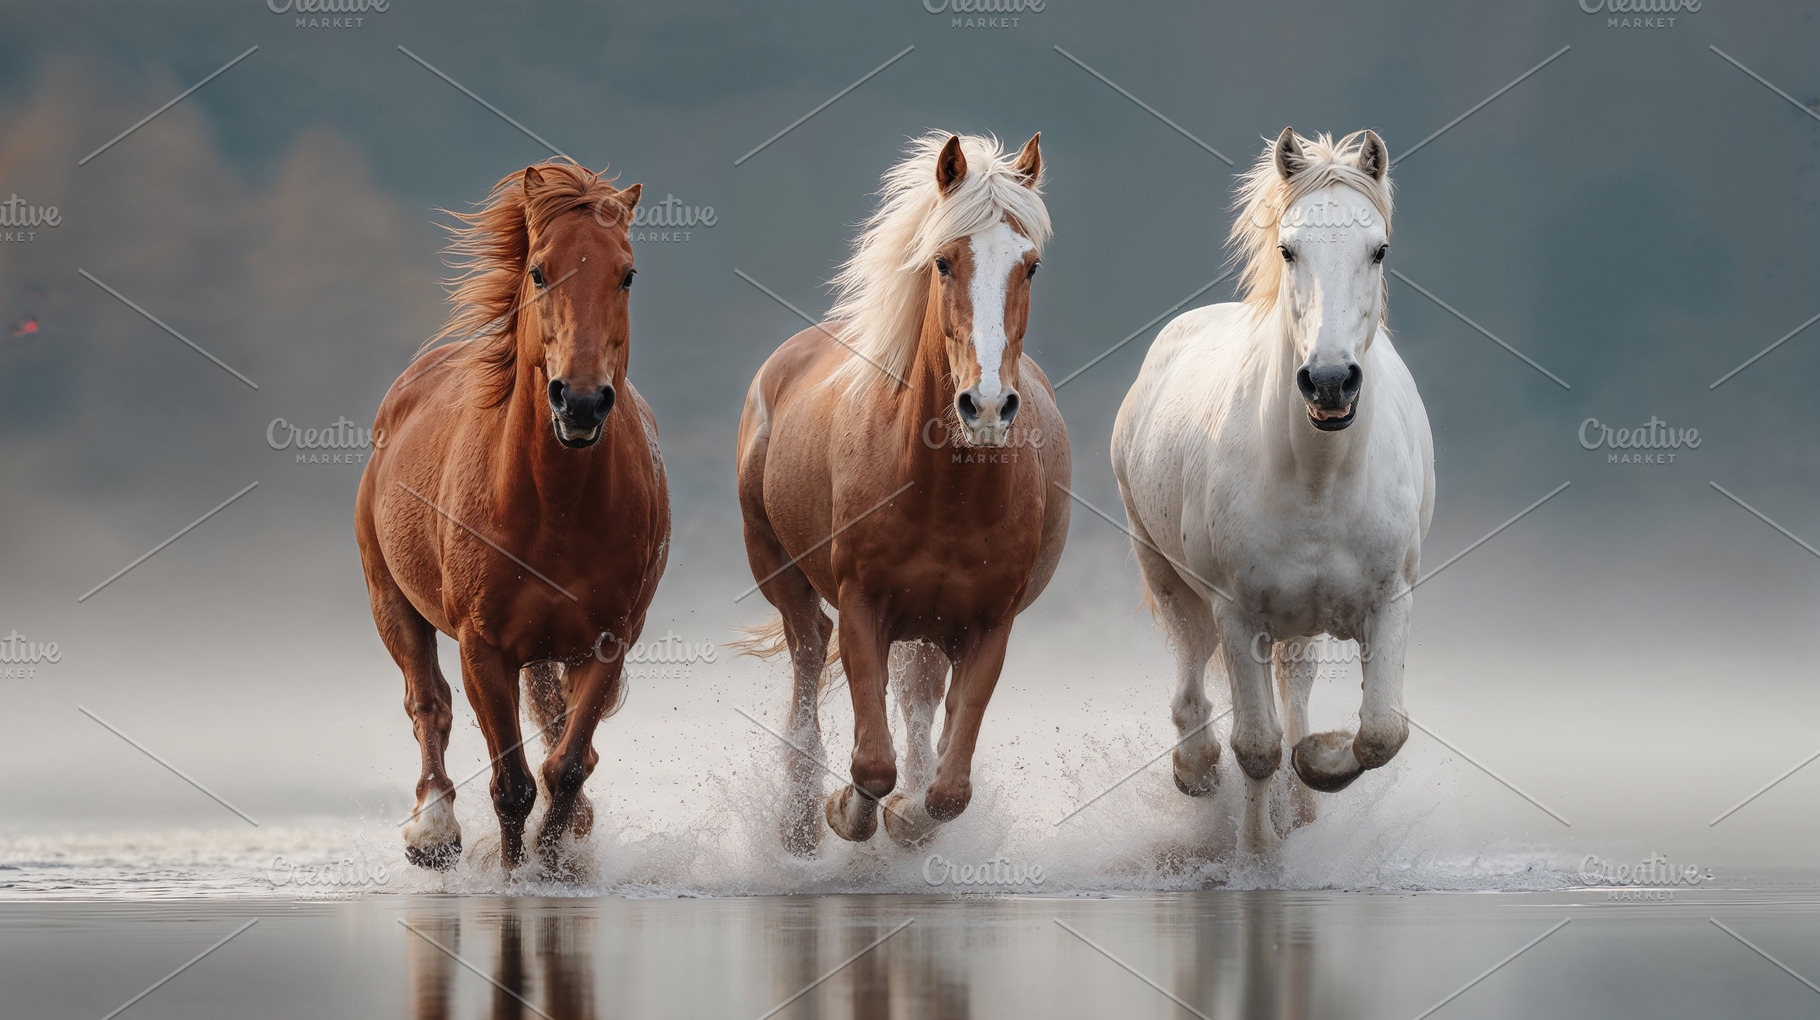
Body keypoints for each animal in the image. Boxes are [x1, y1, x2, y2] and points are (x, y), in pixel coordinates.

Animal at [355, 160, 670, 873]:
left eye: (628, 273)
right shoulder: (484, 647)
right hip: (392, 599)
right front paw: (512, 870)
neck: (554, 506)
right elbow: (512, 784)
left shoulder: (608, 642)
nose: (579, 401)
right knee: (428, 703)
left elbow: (566, 766)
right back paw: (434, 828)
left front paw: (557, 866)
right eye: (539, 271)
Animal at [735, 133, 1071, 854]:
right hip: (777, 567)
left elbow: (947, 788)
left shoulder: (987, 626)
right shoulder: (863, 608)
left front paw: (907, 817)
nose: (987, 406)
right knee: (808, 655)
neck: (947, 493)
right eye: (943, 262)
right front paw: (847, 811)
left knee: (916, 700)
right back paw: (800, 822)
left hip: (931, 627)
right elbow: (871, 762)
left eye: (1030, 267)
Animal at [1110, 128, 1434, 853]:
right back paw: (1196, 770)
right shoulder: (1237, 614)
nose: (1331, 381)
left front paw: (1317, 764)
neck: (1317, 480)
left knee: (1295, 685)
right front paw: (1256, 857)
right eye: (1289, 249)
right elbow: (1256, 748)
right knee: (1194, 684)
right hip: (1171, 581)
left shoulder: (1391, 602)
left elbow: (1381, 732)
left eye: (1379, 250)